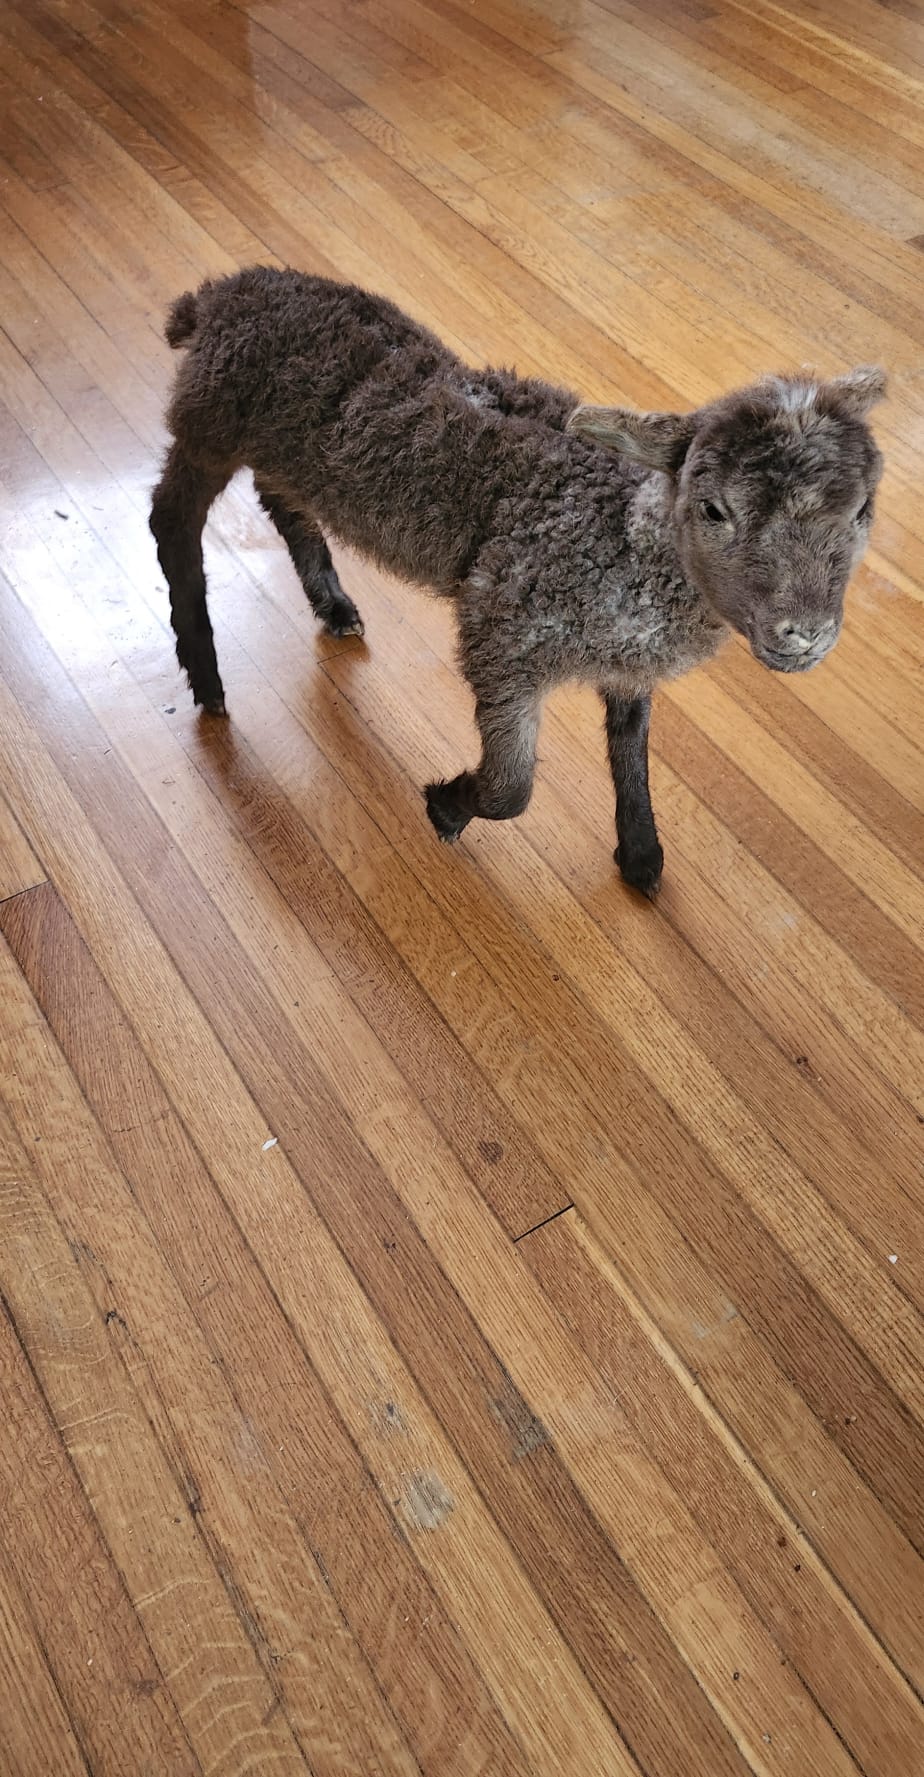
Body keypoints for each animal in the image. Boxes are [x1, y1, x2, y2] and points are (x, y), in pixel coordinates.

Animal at [150, 266, 885, 896]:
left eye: (862, 511)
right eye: (714, 509)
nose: (806, 633)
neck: (622, 536)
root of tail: (219, 296)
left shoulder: (626, 662)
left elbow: (632, 748)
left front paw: (641, 854)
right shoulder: (504, 634)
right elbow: (512, 789)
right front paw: (446, 806)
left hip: (285, 452)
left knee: (282, 500)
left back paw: (332, 606)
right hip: (210, 424)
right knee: (169, 520)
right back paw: (207, 678)